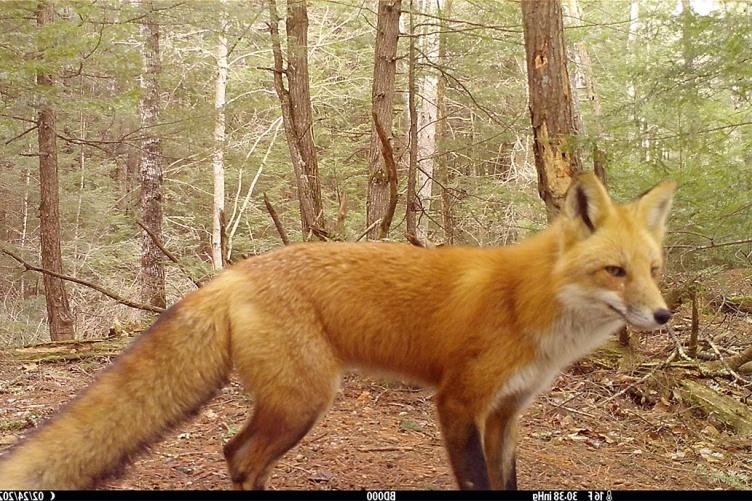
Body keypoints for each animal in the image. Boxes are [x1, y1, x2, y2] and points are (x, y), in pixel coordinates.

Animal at [0, 172, 676, 488]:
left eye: (653, 270)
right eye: (614, 271)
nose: (665, 317)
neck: (528, 303)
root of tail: (231, 272)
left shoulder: (506, 413)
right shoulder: (457, 403)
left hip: (290, 401)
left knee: (234, 453)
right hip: (306, 401)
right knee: (240, 456)